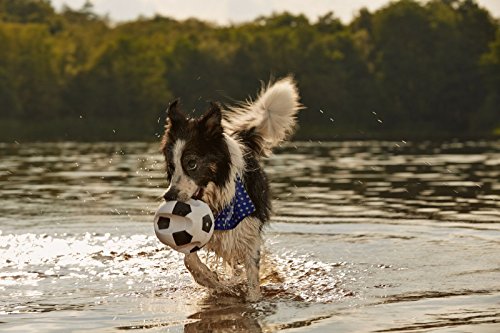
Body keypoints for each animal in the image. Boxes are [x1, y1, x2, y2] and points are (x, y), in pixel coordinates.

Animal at [162, 76, 298, 300]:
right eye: (171, 166)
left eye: (191, 163)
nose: (169, 196)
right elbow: (189, 260)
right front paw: (211, 280)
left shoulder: (249, 233)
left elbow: (252, 277)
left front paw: (252, 299)